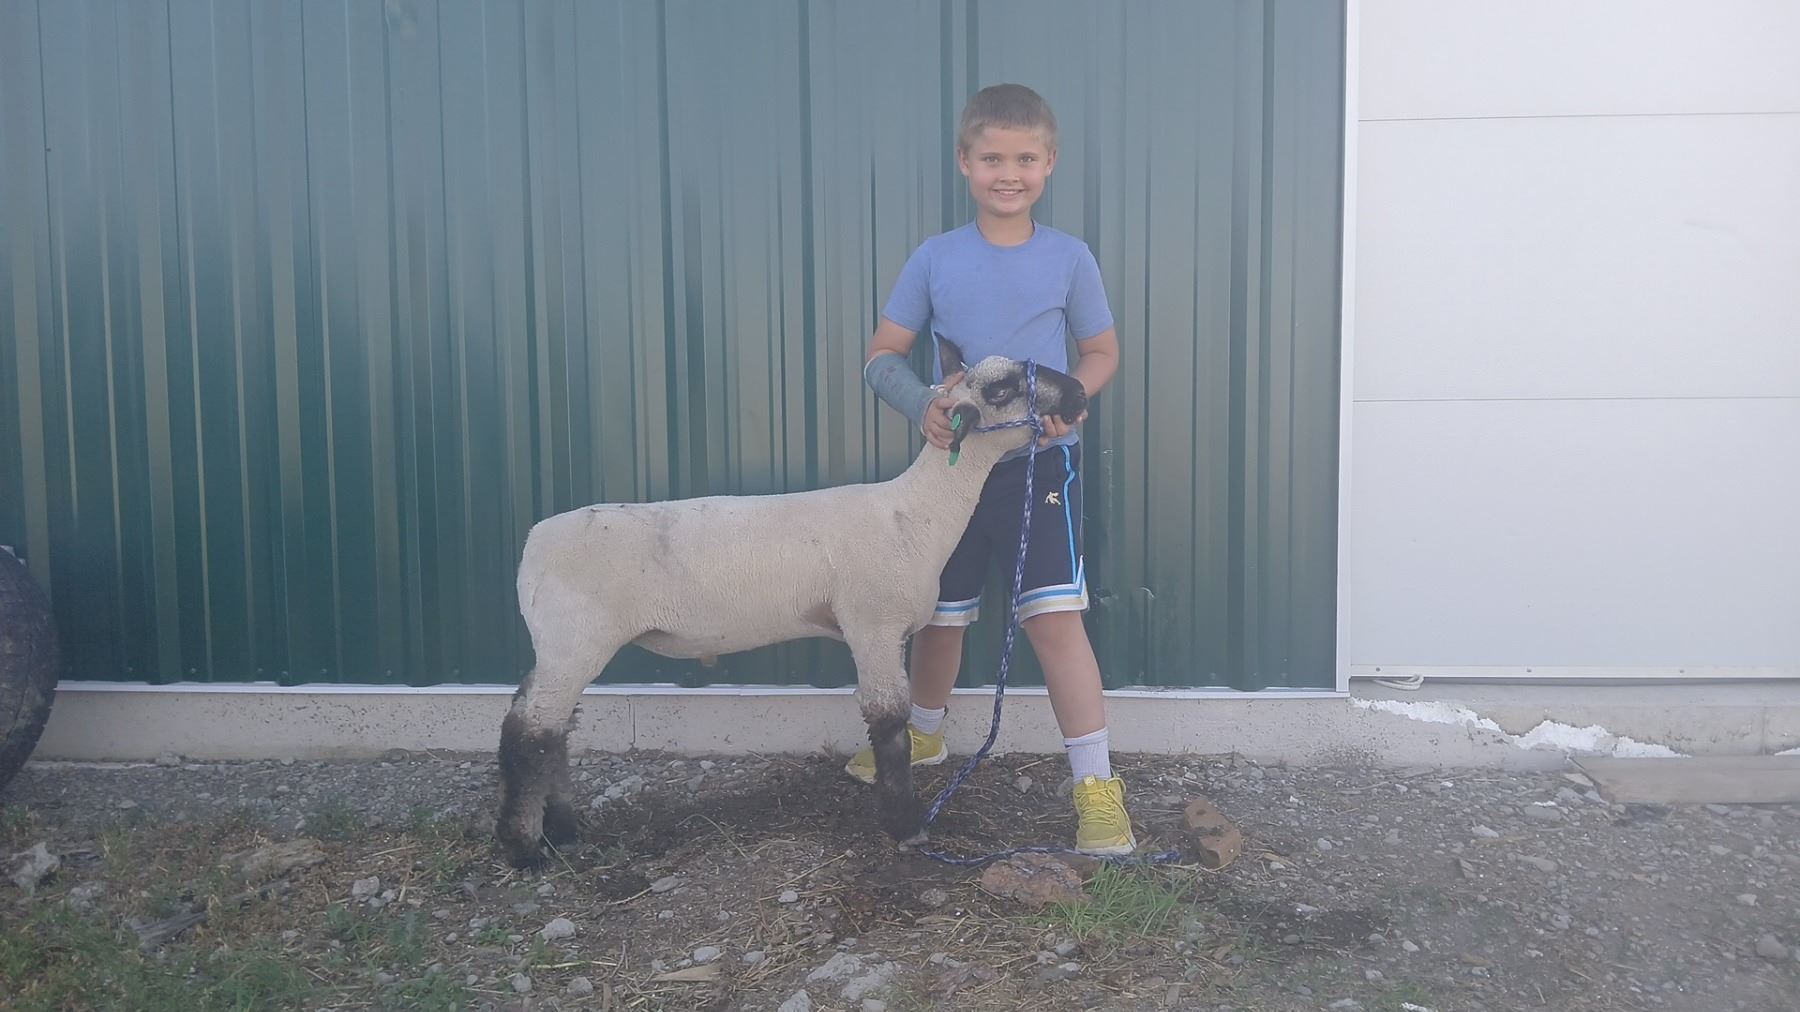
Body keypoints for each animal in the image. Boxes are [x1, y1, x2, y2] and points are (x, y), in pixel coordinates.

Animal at [494, 337, 1089, 868]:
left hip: (560, 644)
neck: (915, 514)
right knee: (530, 730)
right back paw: (524, 848)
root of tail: (532, 546)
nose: (1079, 391)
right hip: (576, 638)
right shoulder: (872, 624)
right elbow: (888, 722)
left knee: (547, 726)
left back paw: (562, 830)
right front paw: (906, 826)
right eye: (1004, 388)